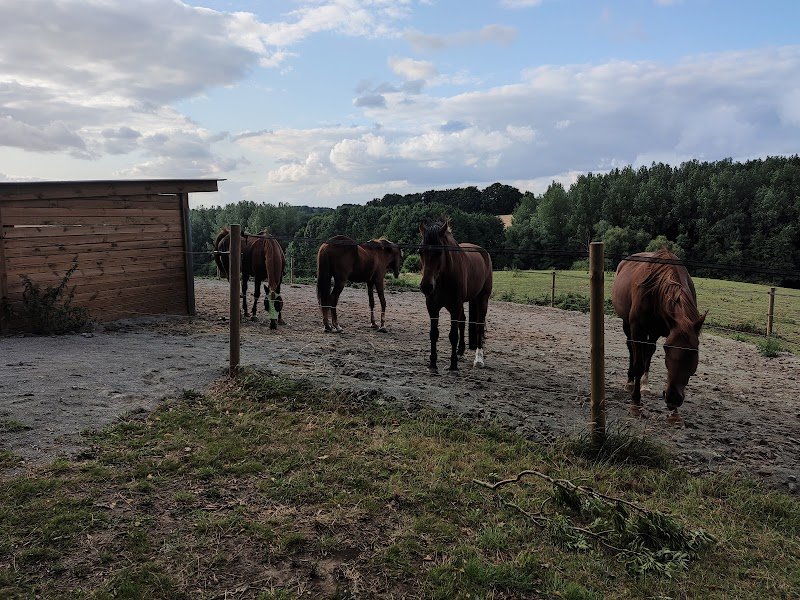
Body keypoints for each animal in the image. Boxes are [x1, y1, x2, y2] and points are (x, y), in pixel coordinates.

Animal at [418, 217, 492, 372]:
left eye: (440, 252)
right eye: (420, 251)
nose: (426, 286)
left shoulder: (454, 306)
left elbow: (453, 335)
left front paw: (453, 365)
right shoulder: (432, 307)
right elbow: (434, 334)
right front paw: (432, 364)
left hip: (482, 299)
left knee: (479, 325)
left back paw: (478, 359)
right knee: (463, 321)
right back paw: (460, 351)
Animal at [611, 248, 706, 414]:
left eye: (694, 351)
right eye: (667, 349)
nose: (673, 398)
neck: (656, 290)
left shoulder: (659, 331)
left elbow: (649, 354)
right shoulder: (637, 329)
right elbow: (638, 363)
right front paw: (636, 399)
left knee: (647, 351)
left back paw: (644, 384)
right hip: (627, 325)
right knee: (631, 348)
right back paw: (630, 382)